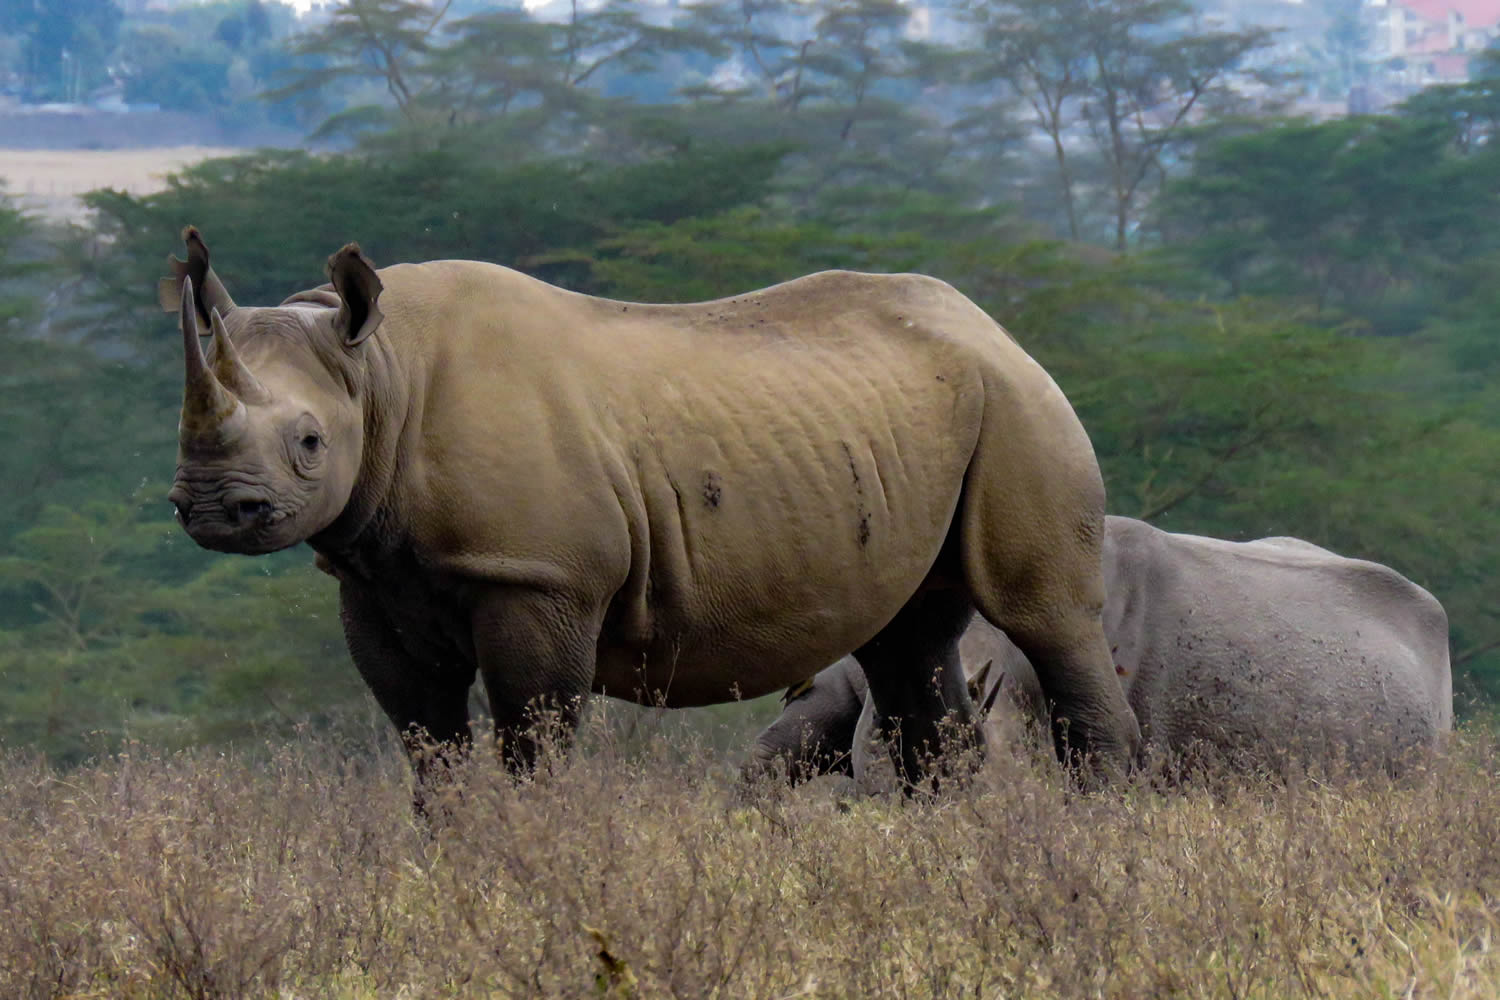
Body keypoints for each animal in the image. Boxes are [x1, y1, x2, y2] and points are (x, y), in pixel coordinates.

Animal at [160, 227, 1140, 789]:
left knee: (1047, 618)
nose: (211, 510)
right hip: (923, 421)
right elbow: (428, 743)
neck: (380, 372)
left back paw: (1104, 816)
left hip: (1020, 407)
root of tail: (994, 327)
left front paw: (532, 863)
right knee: (909, 643)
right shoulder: (374, 576)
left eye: (309, 442)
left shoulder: (539, 579)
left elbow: (533, 740)